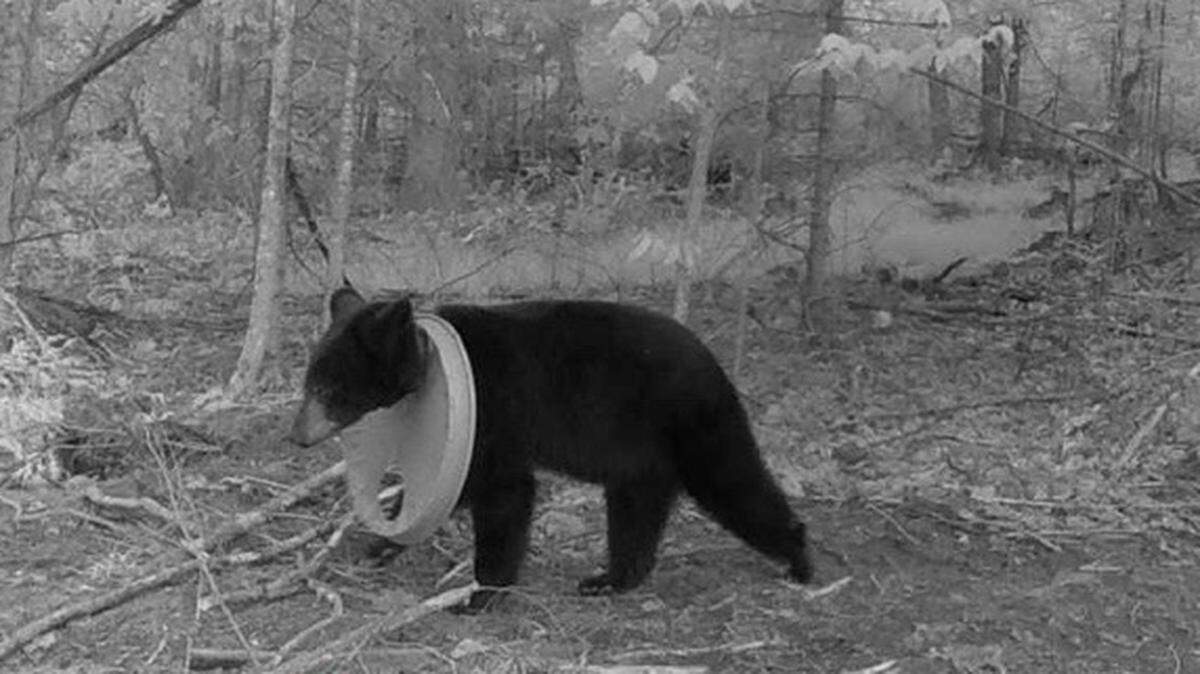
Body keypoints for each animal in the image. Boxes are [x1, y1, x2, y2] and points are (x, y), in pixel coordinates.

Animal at [290, 287, 812, 612]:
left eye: (328, 388)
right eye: (308, 382)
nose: (297, 435)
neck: (427, 360)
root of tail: (714, 362)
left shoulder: (494, 412)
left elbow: (505, 494)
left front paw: (480, 594)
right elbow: (451, 488)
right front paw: (381, 543)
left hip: (692, 423)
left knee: (735, 484)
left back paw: (799, 560)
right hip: (640, 454)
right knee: (636, 510)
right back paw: (610, 579)